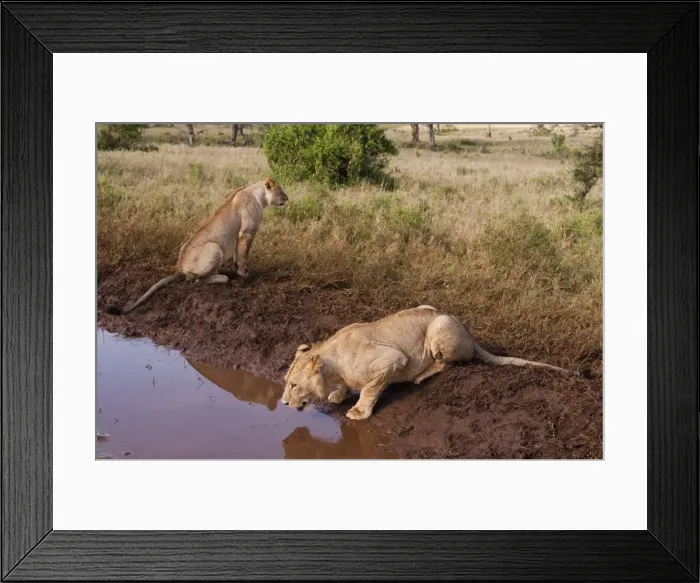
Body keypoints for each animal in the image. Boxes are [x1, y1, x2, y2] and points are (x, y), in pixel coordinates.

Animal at [105, 178, 288, 315]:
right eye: (280, 190)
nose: (287, 199)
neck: (259, 196)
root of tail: (179, 268)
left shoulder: (238, 236)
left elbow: (238, 257)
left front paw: (240, 270)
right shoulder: (246, 233)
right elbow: (243, 257)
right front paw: (244, 275)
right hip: (215, 248)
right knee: (196, 280)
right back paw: (222, 277)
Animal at [281, 305, 572, 420]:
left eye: (294, 385)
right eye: (286, 382)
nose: (282, 404)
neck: (333, 363)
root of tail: (469, 333)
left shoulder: (392, 359)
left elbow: (370, 389)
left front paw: (359, 411)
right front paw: (338, 395)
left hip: (439, 326)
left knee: (447, 364)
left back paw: (420, 376)